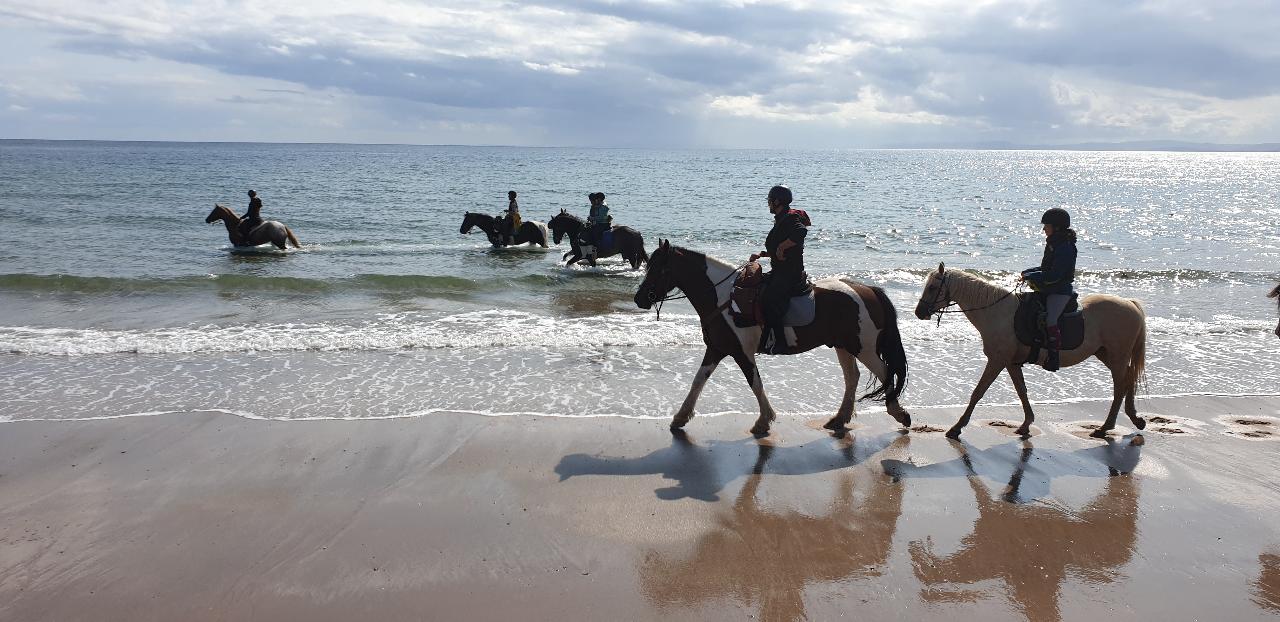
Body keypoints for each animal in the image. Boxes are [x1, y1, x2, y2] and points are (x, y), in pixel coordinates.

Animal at [629, 239, 911, 437]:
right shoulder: (717, 349)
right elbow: (698, 381)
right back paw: (839, 419)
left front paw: (764, 421)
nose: (640, 298)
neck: (723, 298)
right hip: (844, 345)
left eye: (658, 269)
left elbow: (755, 383)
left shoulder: (741, 352)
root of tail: (867, 289)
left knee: (885, 373)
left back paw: (899, 413)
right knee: (853, 378)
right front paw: (680, 417)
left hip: (863, 347)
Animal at [911, 264, 1152, 440]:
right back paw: (1134, 419)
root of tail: (1130, 304)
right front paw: (1026, 424)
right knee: (1128, 380)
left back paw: (1105, 427)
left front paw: (957, 427)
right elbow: (1022, 391)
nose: (919, 312)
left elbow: (978, 392)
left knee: (1120, 385)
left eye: (932, 287)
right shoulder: (1011, 362)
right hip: (1107, 354)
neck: (997, 312)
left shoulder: (997, 360)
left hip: (1117, 355)